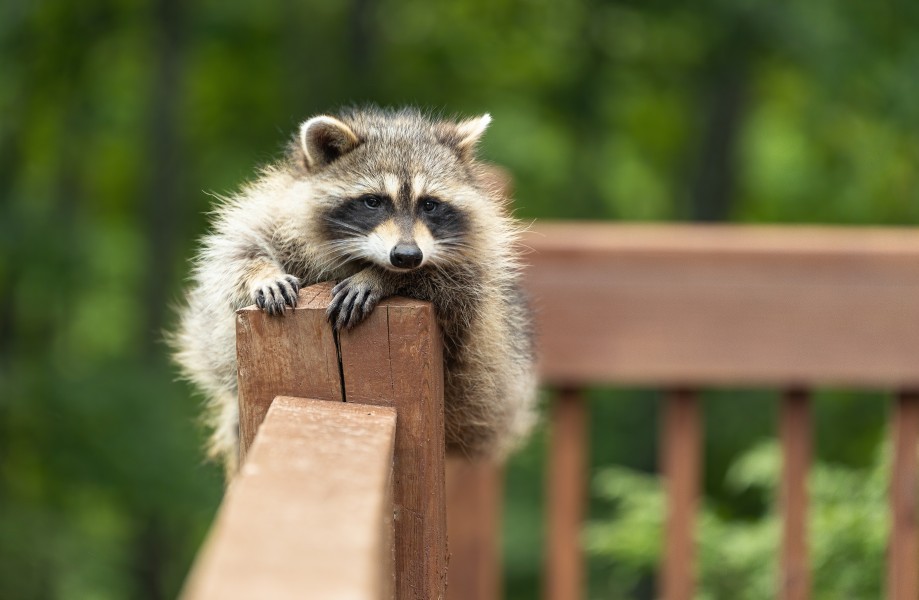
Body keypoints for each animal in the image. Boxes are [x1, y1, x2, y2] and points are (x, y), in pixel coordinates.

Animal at [172, 108, 540, 474]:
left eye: (429, 205)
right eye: (373, 202)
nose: (406, 256)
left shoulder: (476, 279)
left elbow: (455, 284)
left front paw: (380, 276)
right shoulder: (273, 209)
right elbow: (236, 251)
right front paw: (262, 273)